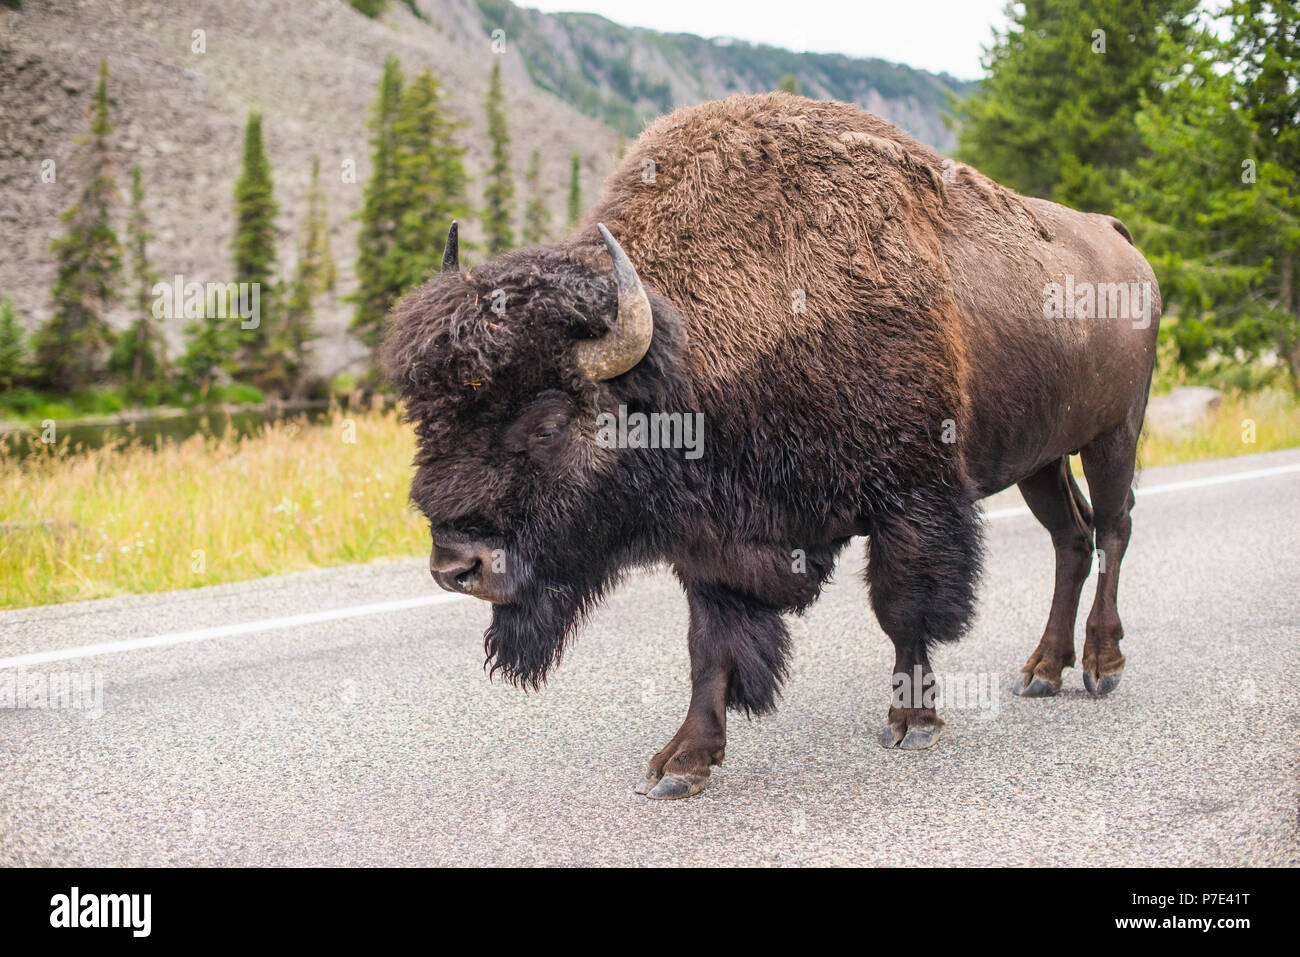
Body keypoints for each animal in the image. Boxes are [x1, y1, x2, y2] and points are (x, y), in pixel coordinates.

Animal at [382, 95, 1159, 800]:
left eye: (549, 423)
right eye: (428, 419)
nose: (456, 566)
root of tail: (1116, 234)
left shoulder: (912, 502)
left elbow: (903, 609)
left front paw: (911, 722)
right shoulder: (712, 541)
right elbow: (709, 647)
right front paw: (682, 764)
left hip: (1113, 432)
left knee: (1113, 529)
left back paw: (1101, 664)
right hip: (1043, 458)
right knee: (1071, 537)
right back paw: (1043, 670)